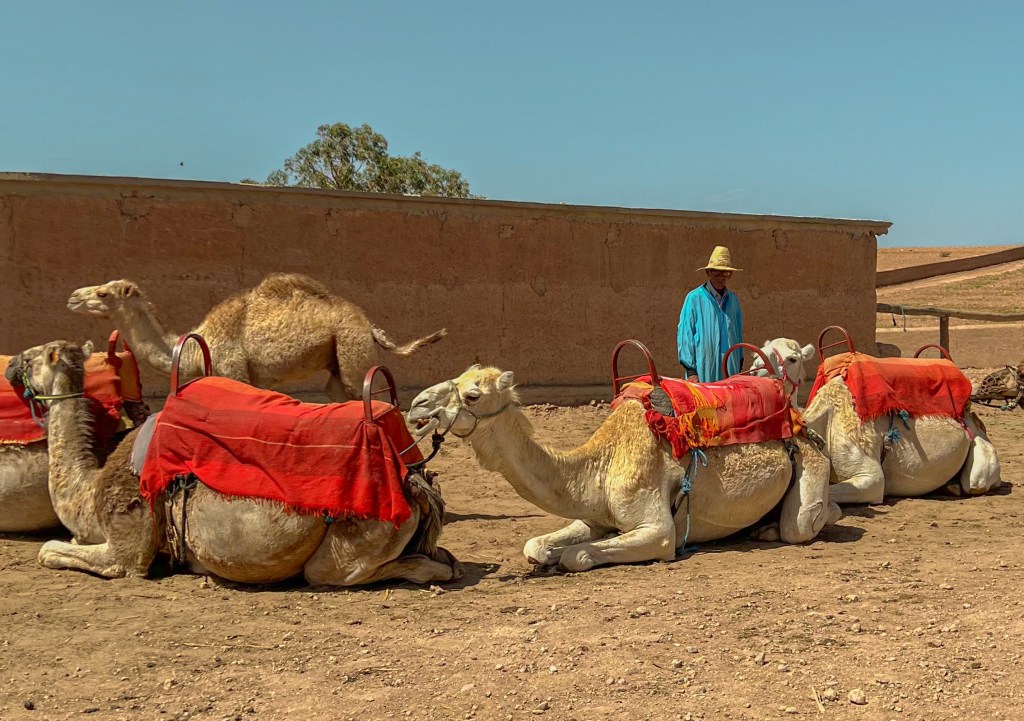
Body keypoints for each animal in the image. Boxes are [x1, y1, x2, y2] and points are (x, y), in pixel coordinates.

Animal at [9, 340, 462, 585]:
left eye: (31, 357)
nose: (11, 364)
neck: (87, 494)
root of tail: (411, 476)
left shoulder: (130, 542)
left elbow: (50, 551)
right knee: (441, 559)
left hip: (349, 544)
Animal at [67, 273, 446, 401]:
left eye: (103, 294)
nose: (72, 297)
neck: (196, 348)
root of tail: (368, 325)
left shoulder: (235, 371)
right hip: (336, 364)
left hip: (352, 351)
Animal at [407, 365, 841, 572]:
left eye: (473, 395)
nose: (416, 405)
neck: (598, 465)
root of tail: (801, 424)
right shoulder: (593, 515)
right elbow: (535, 545)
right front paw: (546, 552)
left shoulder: (658, 530)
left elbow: (577, 555)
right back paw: (760, 527)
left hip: (810, 465)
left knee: (803, 522)